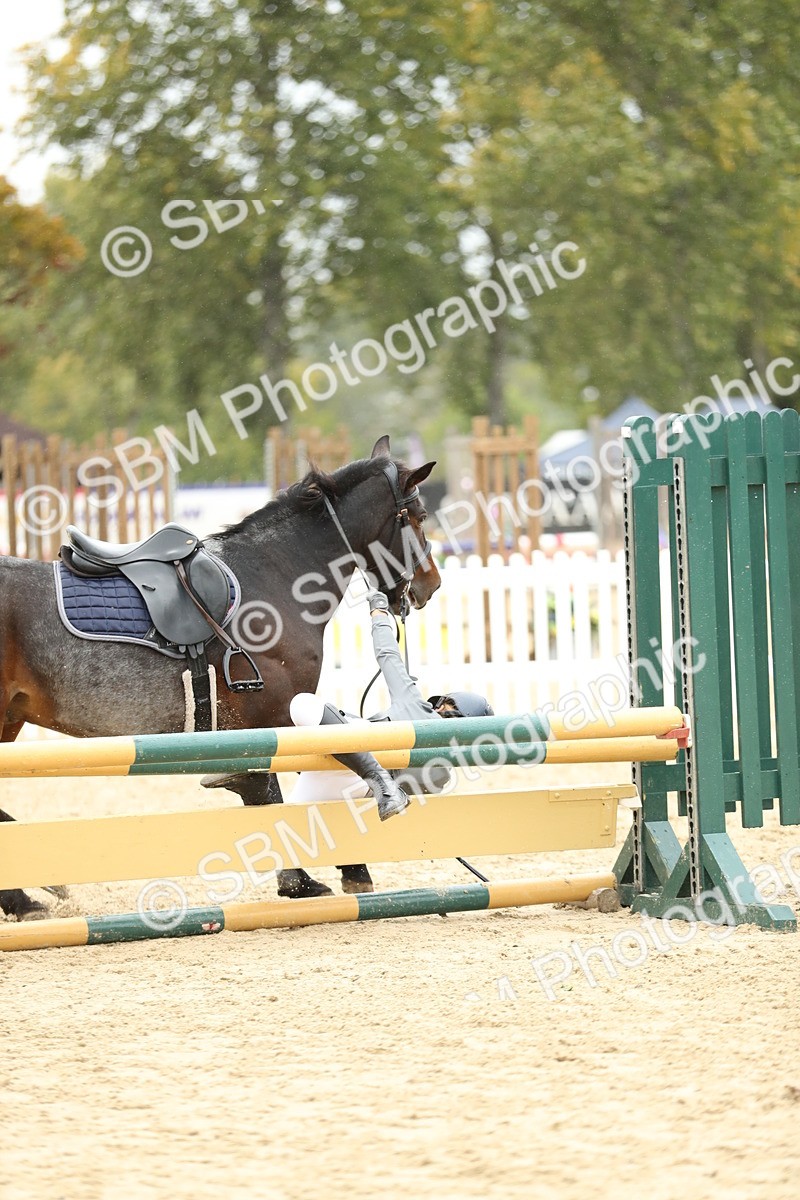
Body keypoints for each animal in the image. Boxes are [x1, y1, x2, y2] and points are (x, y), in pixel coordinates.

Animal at [0, 436, 440, 920]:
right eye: (419, 517)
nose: (431, 586)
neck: (276, 577)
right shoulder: (275, 713)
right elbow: (272, 792)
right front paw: (303, 881)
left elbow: (263, 787)